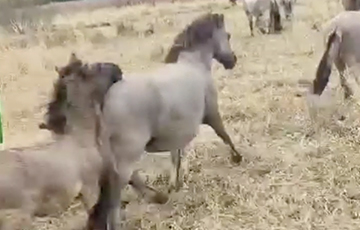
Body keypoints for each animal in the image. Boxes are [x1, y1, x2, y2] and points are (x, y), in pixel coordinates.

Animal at [85, 12, 242, 230]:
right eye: (228, 35)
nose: (232, 60)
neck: (194, 63)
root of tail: (106, 96)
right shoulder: (212, 114)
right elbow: (224, 135)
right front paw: (237, 157)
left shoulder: (177, 132)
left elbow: (176, 156)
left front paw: (174, 184)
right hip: (126, 155)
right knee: (116, 195)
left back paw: (158, 196)